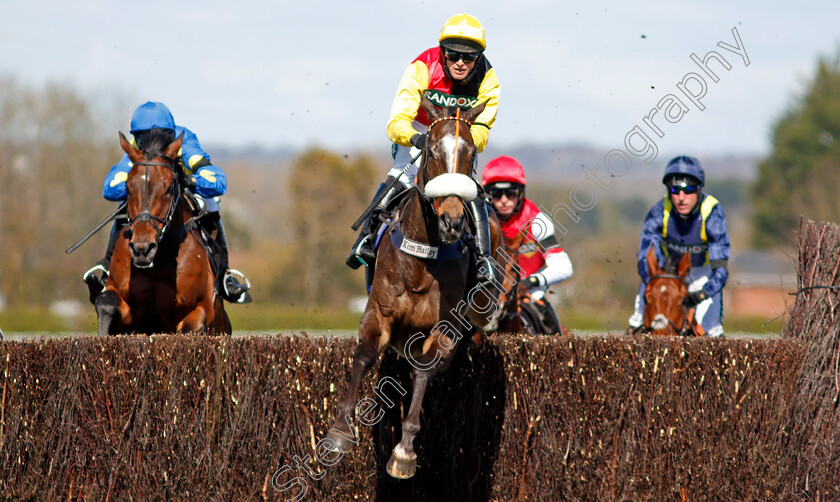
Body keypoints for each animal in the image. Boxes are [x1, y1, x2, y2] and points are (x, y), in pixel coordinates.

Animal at [94, 132, 231, 338]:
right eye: (127, 188)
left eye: (168, 188)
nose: (142, 248)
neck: (158, 263)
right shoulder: (123, 304)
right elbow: (106, 303)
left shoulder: (202, 309)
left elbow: (190, 327)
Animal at [324, 95, 502, 478]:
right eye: (432, 151)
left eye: (470, 154)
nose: (452, 221)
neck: (422, 256)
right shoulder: (378, 313)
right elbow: (364, 354)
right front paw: (339, 434)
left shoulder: (442, 328)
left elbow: (424, 372)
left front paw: (404, 452)